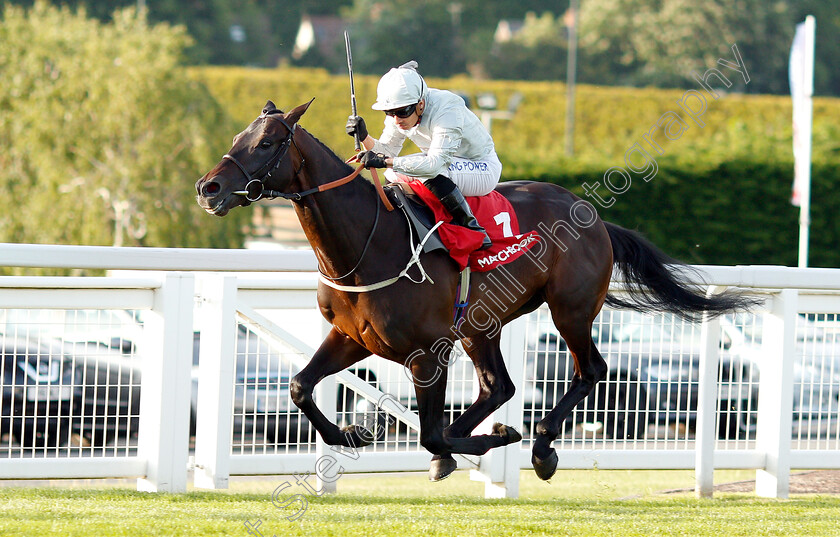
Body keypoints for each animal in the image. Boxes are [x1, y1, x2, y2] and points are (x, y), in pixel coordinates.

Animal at [197, 99, 756, 478]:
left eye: (267, 143)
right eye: (239, 135)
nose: (209, 188)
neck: (367, 245)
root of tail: (594, 218)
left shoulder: (427, 351)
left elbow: (428, 432)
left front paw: (493, 439)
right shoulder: (353, 337)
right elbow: (300, 386)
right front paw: (350, 431)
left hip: (569, 311)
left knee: (589, 370)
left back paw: (540, 444)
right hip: (480, 326)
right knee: (499, 387)